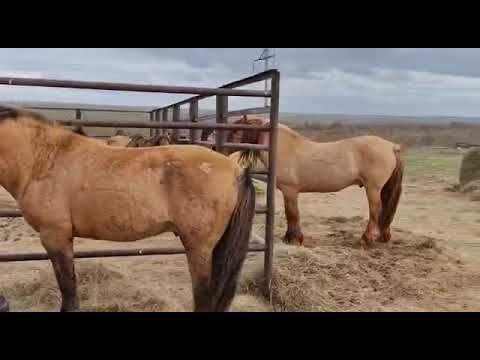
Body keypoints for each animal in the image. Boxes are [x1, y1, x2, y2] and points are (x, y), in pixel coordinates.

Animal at [227, 116, 404, 249]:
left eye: (236, 130)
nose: (221, 149)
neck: (283, 148)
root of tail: (391, 146)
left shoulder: (290, 190)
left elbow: (292, 214)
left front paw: (294, 239)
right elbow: (291, 214)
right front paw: (290, 238)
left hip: (373, 188)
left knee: (375, 211)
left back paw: (366, 239)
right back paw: (383, 237)